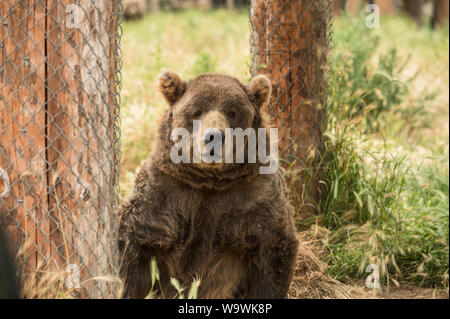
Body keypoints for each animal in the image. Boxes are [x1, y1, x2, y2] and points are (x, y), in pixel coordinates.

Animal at [117, 70, 298, 300]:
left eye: (232, 111)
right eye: (197, 110)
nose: (214, 136)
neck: (209, 181)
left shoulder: (254, 195)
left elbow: (273, 249)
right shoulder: (164, 191)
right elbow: (136, 246)